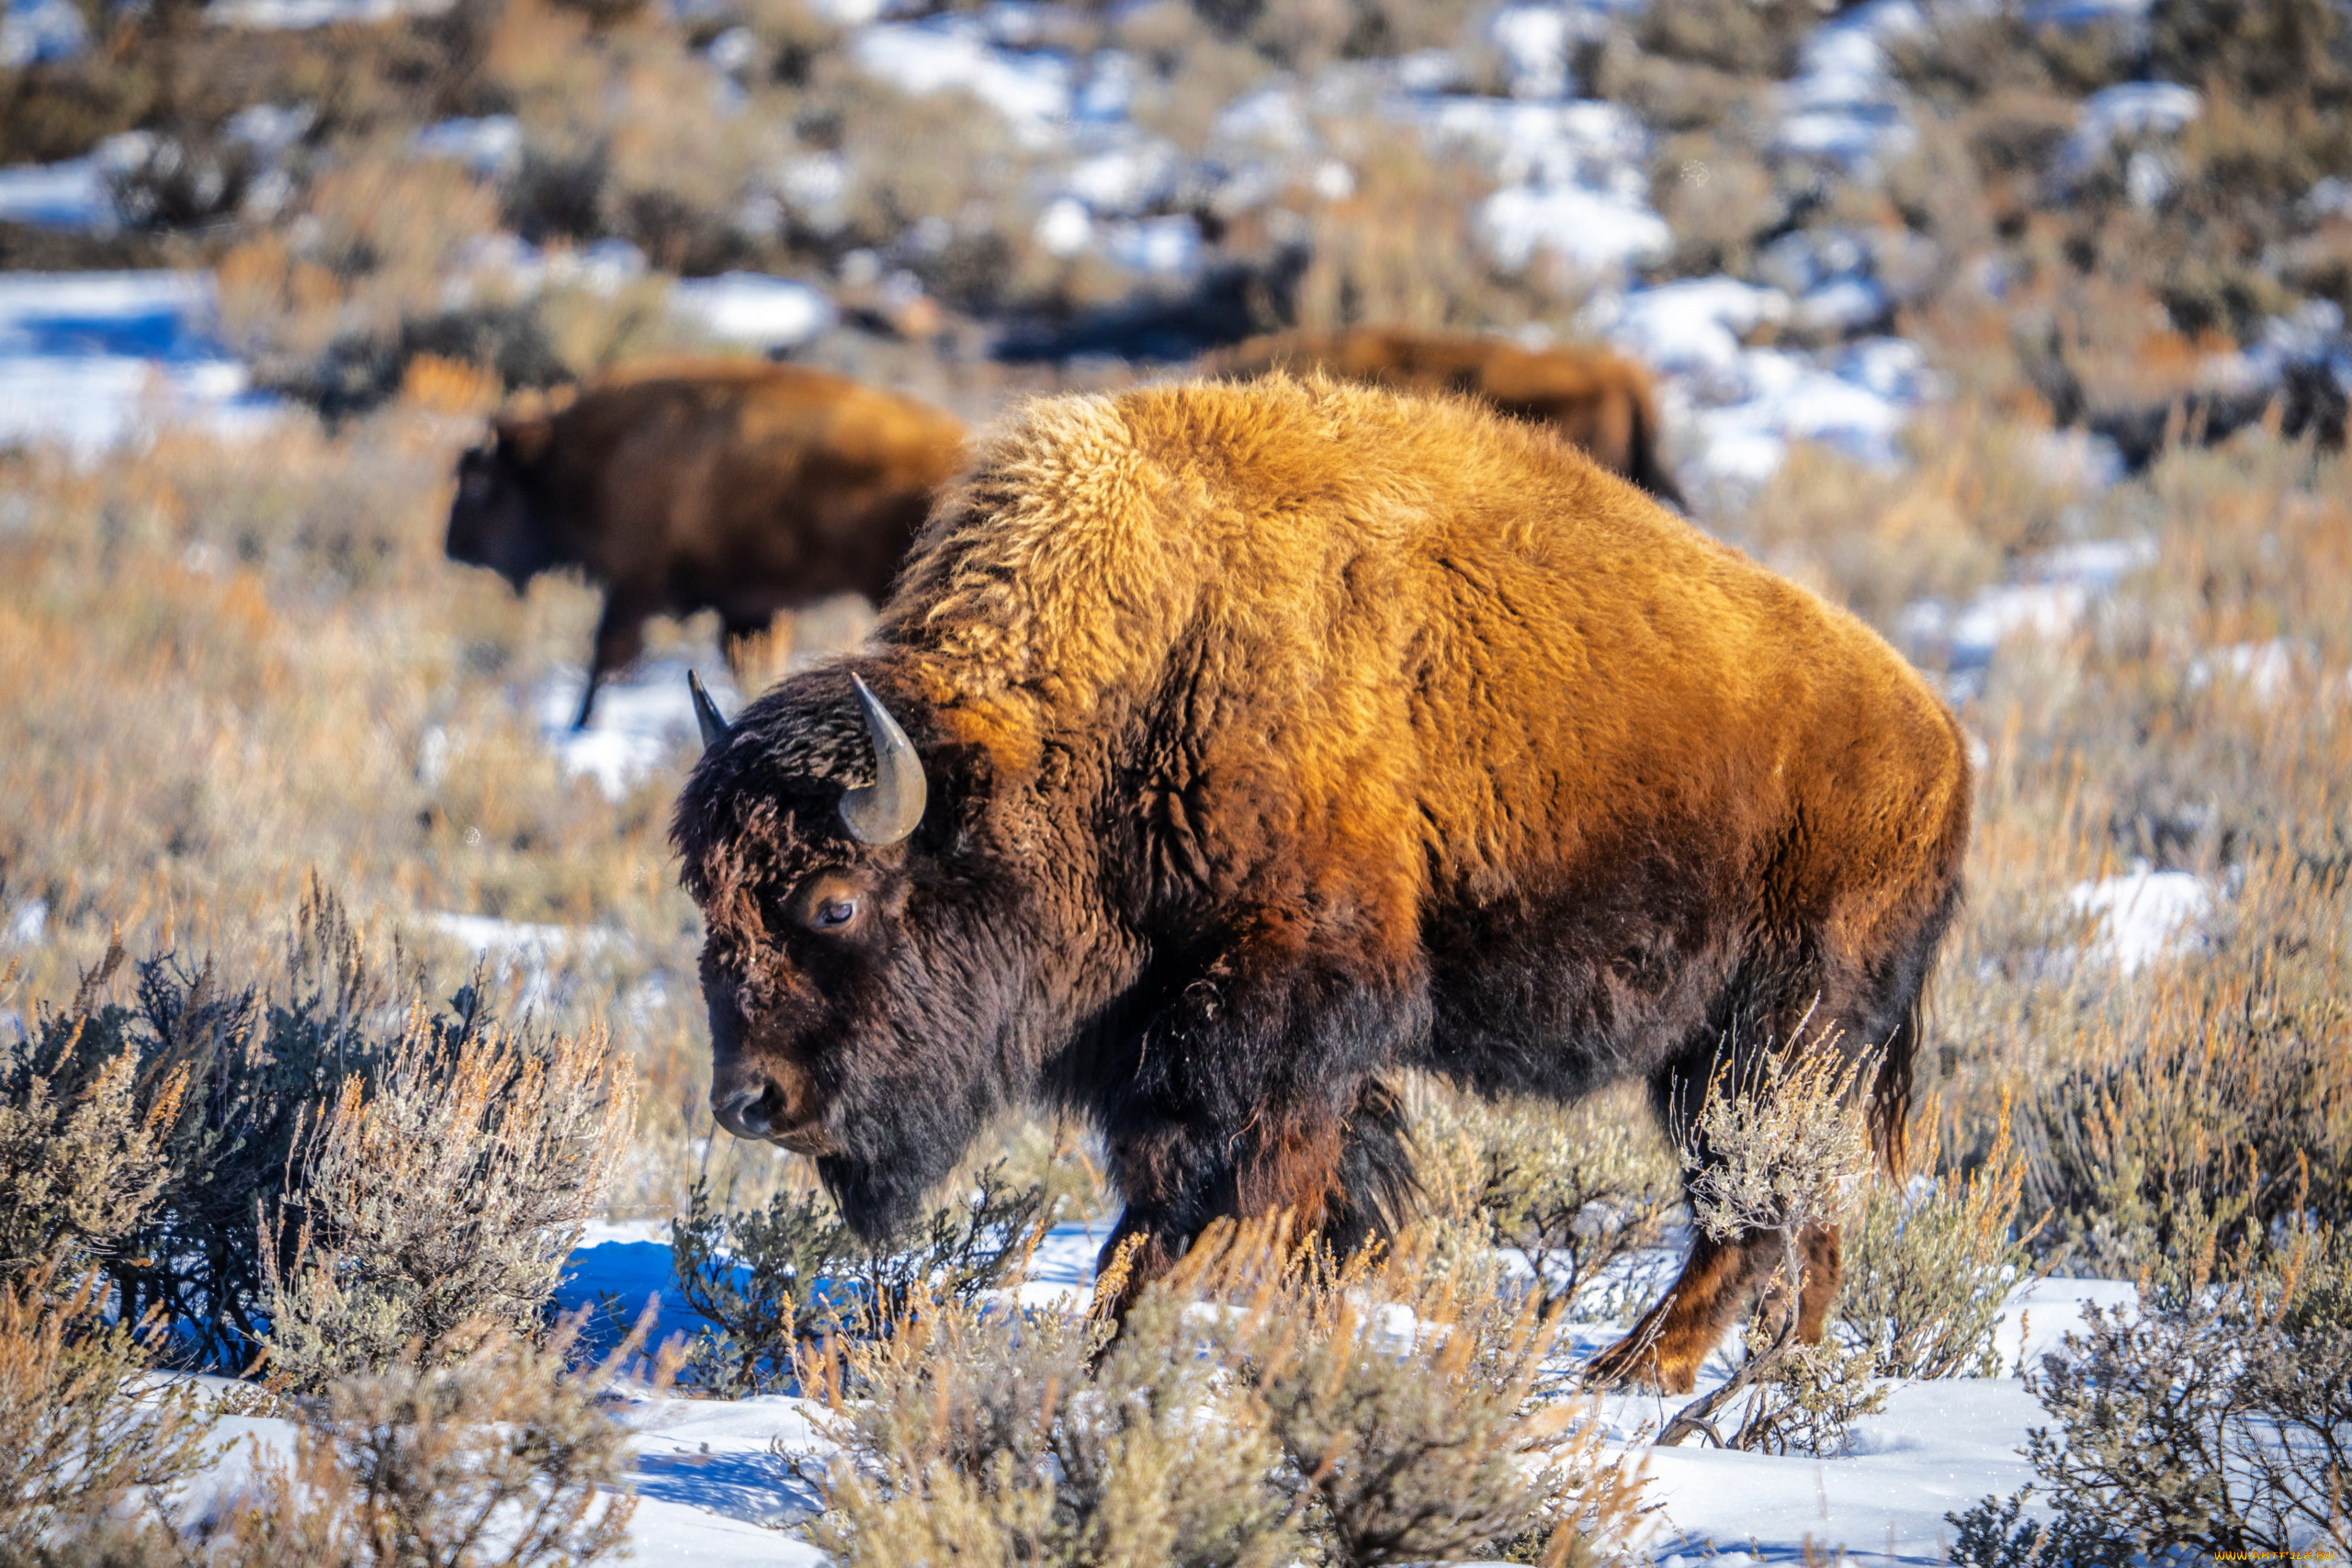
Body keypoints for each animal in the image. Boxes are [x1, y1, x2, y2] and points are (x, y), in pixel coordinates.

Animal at [446, 358, 967, 728]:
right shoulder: (747, 607)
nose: (453, 546)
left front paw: (580, 725)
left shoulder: (635, 581)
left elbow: (605, 654)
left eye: (480, 483)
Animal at [673, 373, 1970, 1391]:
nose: (749, 1101)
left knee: (1749, 1203)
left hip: (1773, 1032)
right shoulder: (1174, 1032)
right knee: (1803, 1216)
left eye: (836, 900)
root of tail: (1938, 735)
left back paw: (1632, 1371)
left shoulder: (1275, 1004)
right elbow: (1285, 1191)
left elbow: (1223, 1190)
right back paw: (1776, 1369)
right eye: (708, 907)